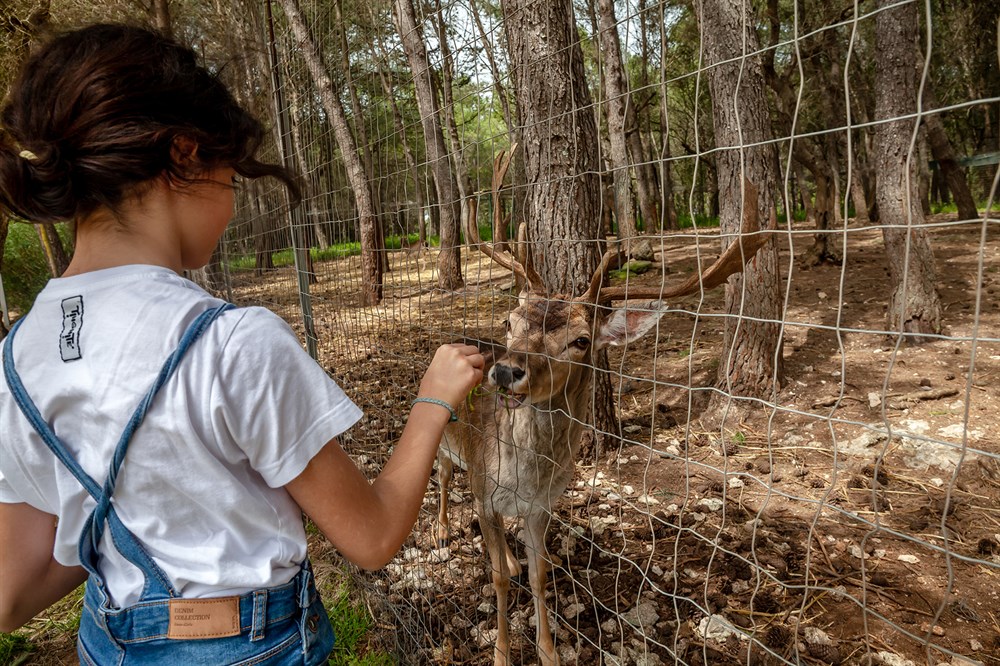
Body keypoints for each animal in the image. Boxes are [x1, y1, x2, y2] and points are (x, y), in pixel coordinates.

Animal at [434, 145, 768, 664]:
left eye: (581, 340)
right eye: (510, 321)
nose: (505, 371)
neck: (524, 475)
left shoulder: (541, 506)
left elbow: (538, 573)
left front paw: (549, 651)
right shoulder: (484, 486)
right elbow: (497, 578)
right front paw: (503, 653)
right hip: (449, 447)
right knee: (445, 478)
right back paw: (443, 530)